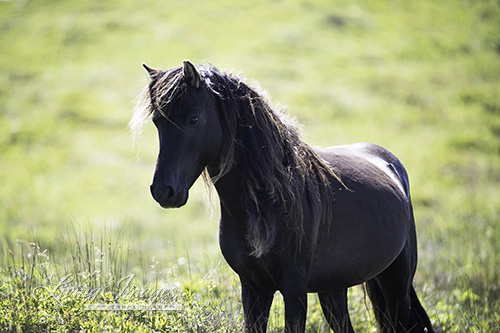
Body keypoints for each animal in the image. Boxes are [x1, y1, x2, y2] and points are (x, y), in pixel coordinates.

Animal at [130, 60, 434, 332]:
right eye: (157, 122)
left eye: (193, 119)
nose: (163, 191)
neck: (269, 203)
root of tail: (390, 162)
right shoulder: (253, 289)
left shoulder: (294, 290)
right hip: (334, 288)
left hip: (396, 282)